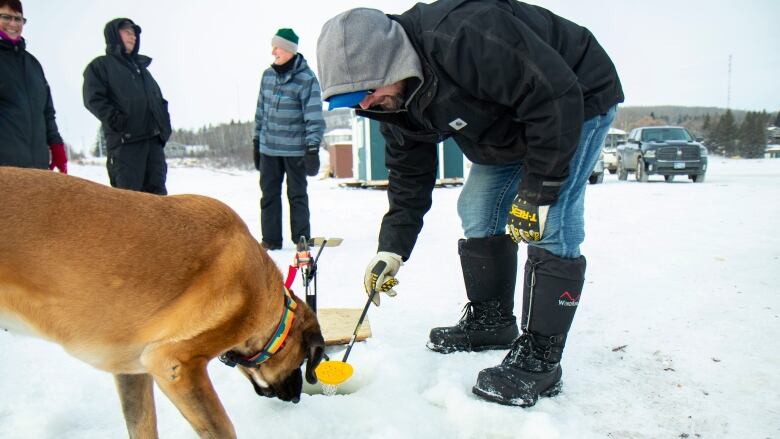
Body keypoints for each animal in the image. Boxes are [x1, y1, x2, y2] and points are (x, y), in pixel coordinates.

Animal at [0, 168, 322, 436]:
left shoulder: (132, 373)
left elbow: (142, 425)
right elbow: (222, 428)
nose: (296, 397)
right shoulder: (175, 365)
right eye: (302, 360)